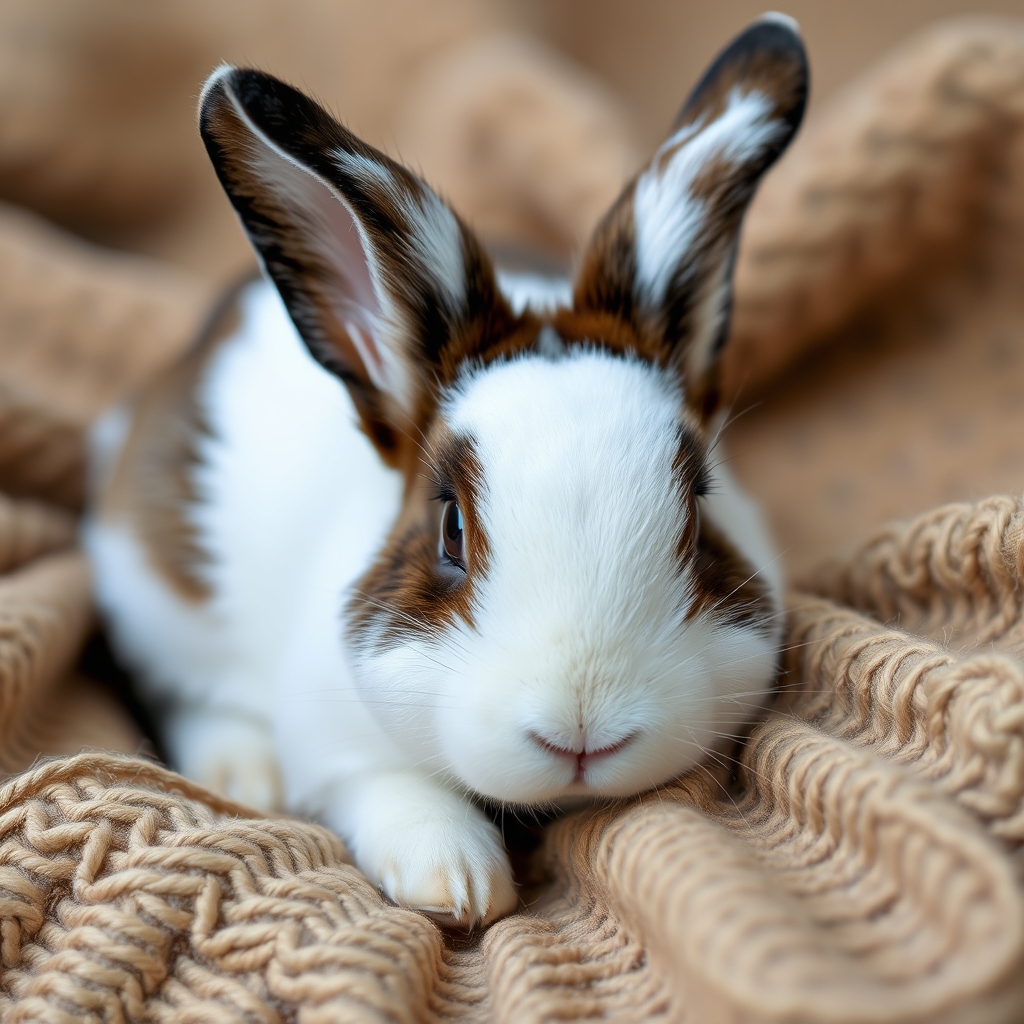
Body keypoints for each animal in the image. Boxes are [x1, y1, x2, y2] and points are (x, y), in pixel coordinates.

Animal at [84, 14, 807, 927]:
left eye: (699, 513)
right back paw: (242, 772)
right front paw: (456, 880)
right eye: (450, 529)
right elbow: (390, 788)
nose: (582, 732)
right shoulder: (336, 740)